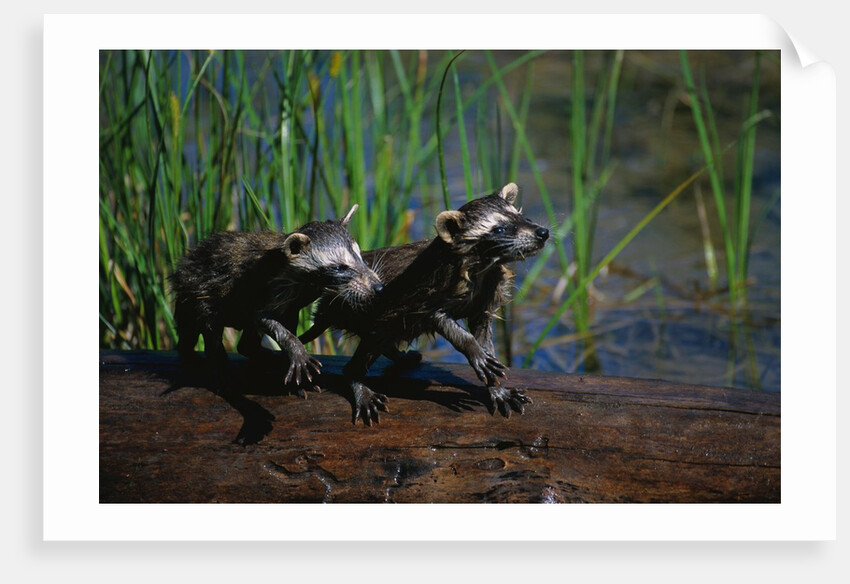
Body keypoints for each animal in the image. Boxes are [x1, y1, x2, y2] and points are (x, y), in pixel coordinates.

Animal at [170, 205, 381, 392]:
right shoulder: (270, 286)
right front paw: (295, 348)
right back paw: (219, 365)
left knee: (244, 341)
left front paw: (290, 357)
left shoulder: (296, 300)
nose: (378, 287)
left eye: (360, 257)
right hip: (201, 291)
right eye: (340, 267)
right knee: (210, 329)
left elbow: (288, 318)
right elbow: (263, 318)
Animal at [301, 183, 549, 423]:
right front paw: (473, 349)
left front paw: (496, 387)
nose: (542, 232)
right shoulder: (429, 291)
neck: (485, 267)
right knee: (367, 349)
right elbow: (439, 319)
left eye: (521, 216)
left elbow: (485, 338)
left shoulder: (485, 298)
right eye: (500, 229)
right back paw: (358, 382)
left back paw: (399, 356)